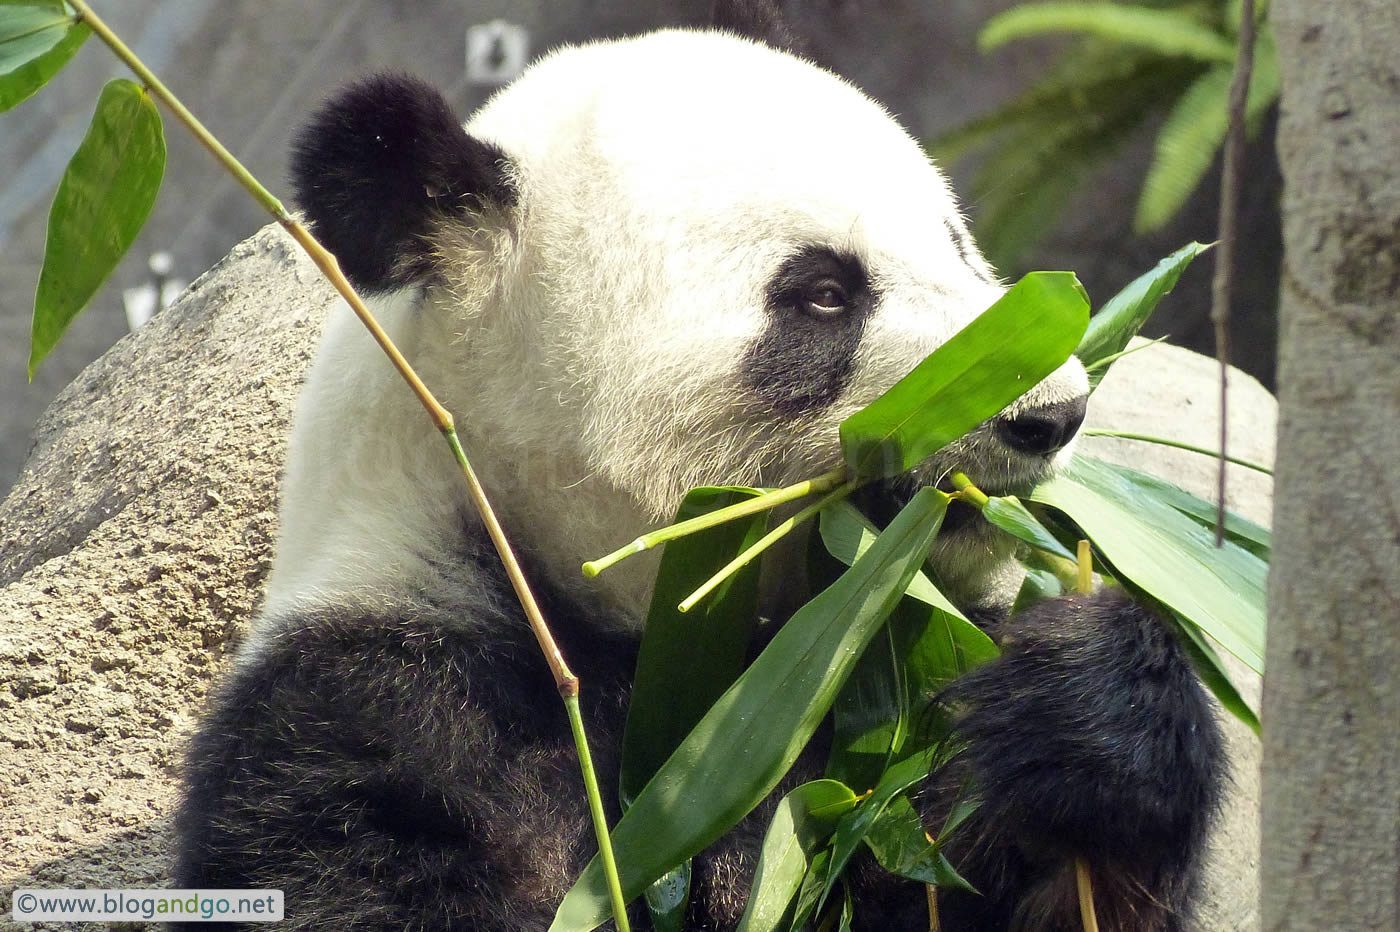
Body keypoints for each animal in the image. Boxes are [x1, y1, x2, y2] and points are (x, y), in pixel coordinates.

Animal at [175, 7, 1226, 929]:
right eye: (824, 294)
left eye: (959, 248)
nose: (1050, 413)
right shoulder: (379, 714)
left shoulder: (878, 714)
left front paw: (1088, 709)